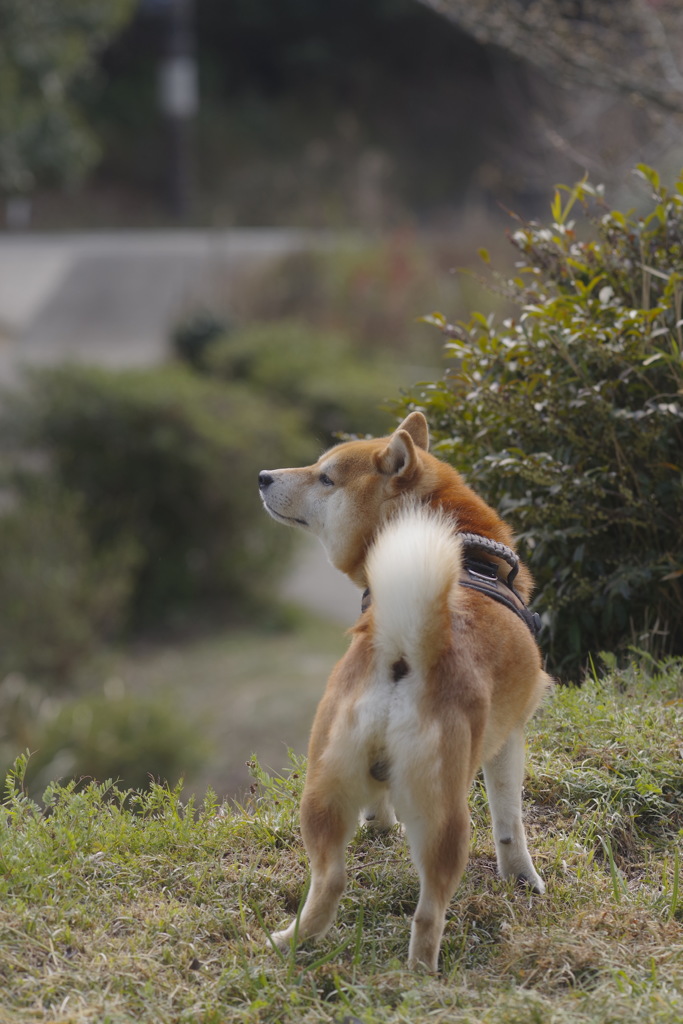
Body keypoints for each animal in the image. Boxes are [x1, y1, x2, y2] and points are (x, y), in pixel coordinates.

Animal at [255, 411, 548, 970]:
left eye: (325, 477)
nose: (262, 476)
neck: (469, 552)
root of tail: (400, 652)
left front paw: (379, 822)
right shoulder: (509, 739)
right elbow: (510, 823)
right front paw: (522, 878)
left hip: (322, 790)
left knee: (329, 881)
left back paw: (289, 941)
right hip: (445, 821)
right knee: (429, 913)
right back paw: (422, 972)